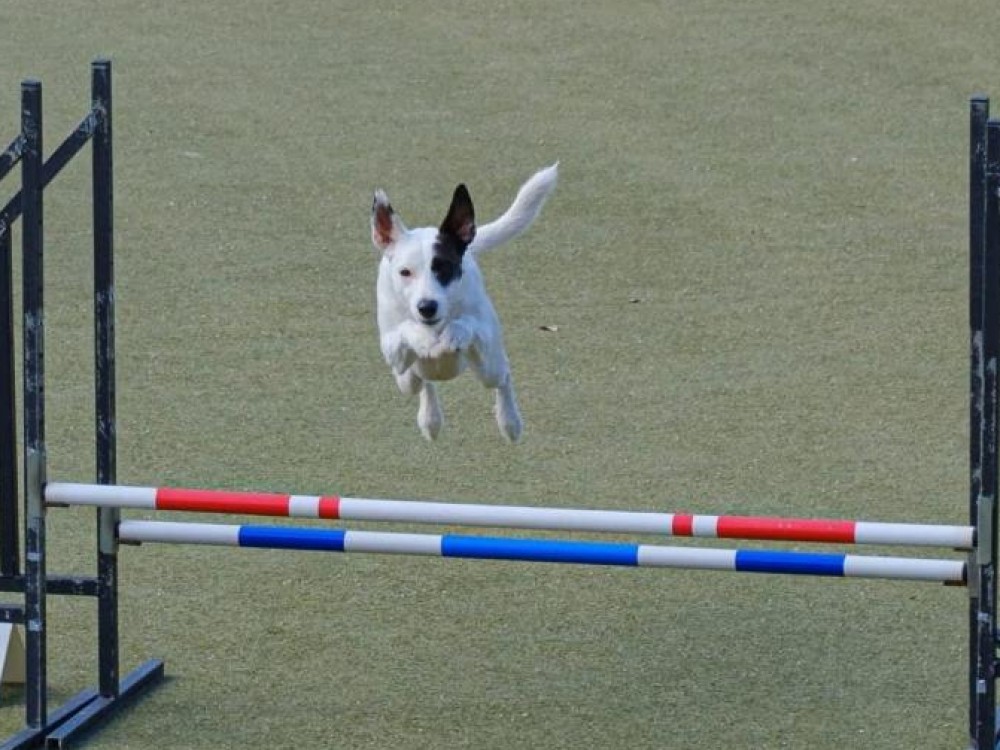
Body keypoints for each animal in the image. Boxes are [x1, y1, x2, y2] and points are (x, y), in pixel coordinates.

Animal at [370, 164, 558, 441]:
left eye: (444, 268)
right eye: (405, 272)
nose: (427, 307)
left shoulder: (482, 331)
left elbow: (466, 323)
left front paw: (453, 332)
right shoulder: (392, 350)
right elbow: (406, 330)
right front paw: (423, 338)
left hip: (488, 365)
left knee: (503, 376)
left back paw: (510, 422)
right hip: (406, 379)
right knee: (422, 382)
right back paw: (430, 420)